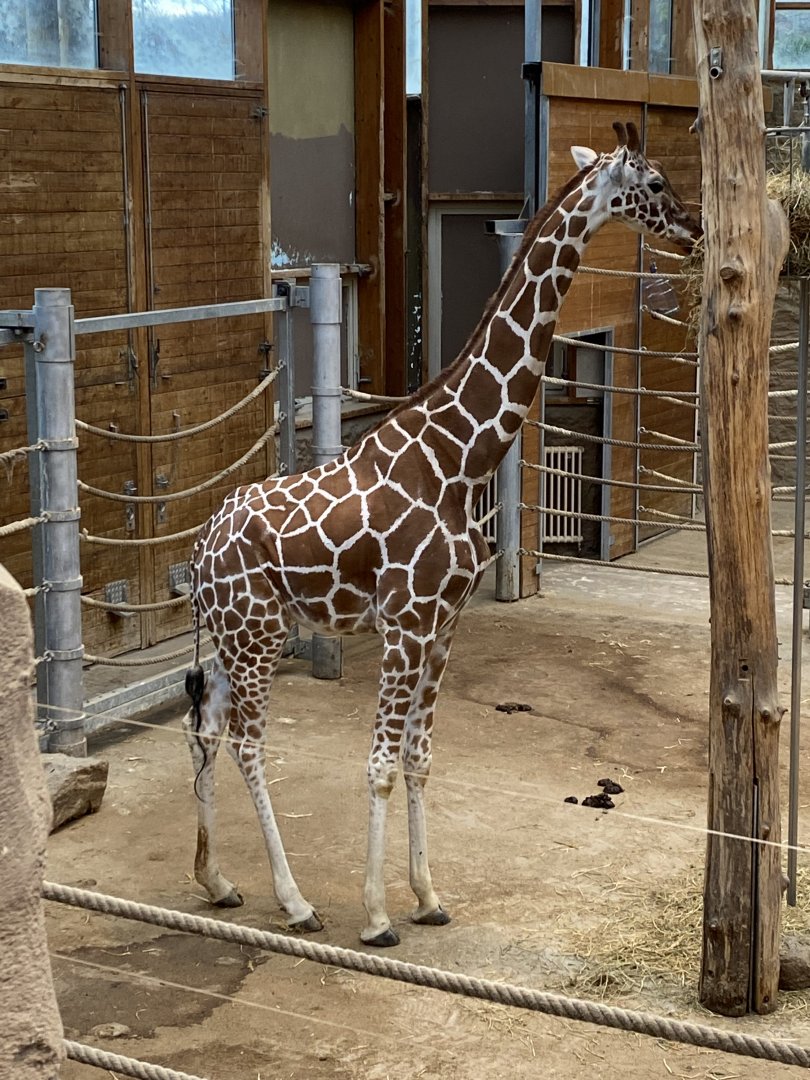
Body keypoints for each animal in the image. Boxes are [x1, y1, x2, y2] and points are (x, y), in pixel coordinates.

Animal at [184, 121, 701, 947]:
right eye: (653, 183)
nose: (695, 228)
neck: (458, 458)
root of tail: (197, 550)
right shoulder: (405, 622)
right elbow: (379, 763)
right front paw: (375, 915)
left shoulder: (445, 623)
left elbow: (422, 757)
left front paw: (427, 895)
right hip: (257, 634)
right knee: (247, 741)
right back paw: (294, 901)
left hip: (239, 635)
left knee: (206, 728)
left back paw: (218, 880)